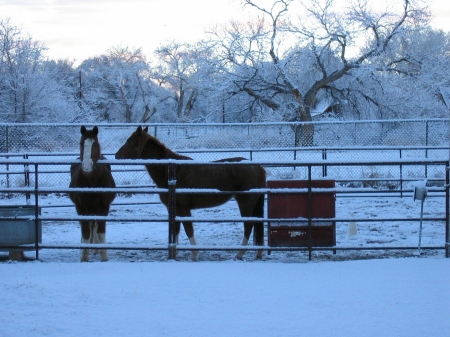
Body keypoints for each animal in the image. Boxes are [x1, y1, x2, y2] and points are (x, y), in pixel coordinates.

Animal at [69, 126, 116, 262]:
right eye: (81, 143)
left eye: (95, 144)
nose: (87, 165)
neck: (92, 181)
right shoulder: (81, 208)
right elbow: (85, 233)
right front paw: (84, 257)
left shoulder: (104, 208)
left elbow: (100, 232)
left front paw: (104, 257)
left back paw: (95, 248)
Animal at [114, 126, 268, 260]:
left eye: (128, 140)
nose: (116, 155)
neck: (171, 171)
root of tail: (258, 167)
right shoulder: (174, 209)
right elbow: (175, 230)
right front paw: (174, 253)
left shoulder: (184, 209)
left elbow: (188, 229)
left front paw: (194, 254)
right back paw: (258, 253)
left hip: (245, 203)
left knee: (248, 226)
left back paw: (240, 254)